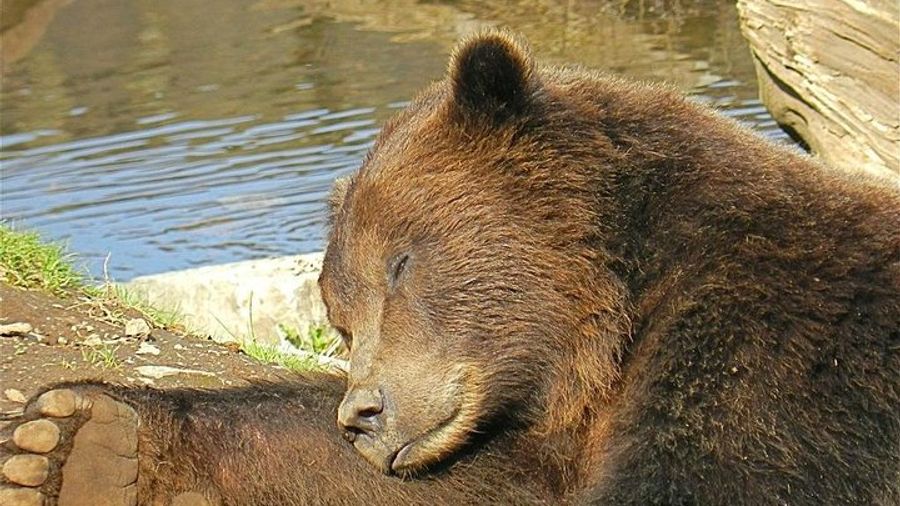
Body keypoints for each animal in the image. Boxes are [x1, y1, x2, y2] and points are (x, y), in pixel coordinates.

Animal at [1, 30, 899, 505]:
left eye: (401, 263)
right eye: (340, 318)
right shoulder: (541, 434)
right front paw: (75, 441)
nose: (363, 413)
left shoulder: (772, 358)